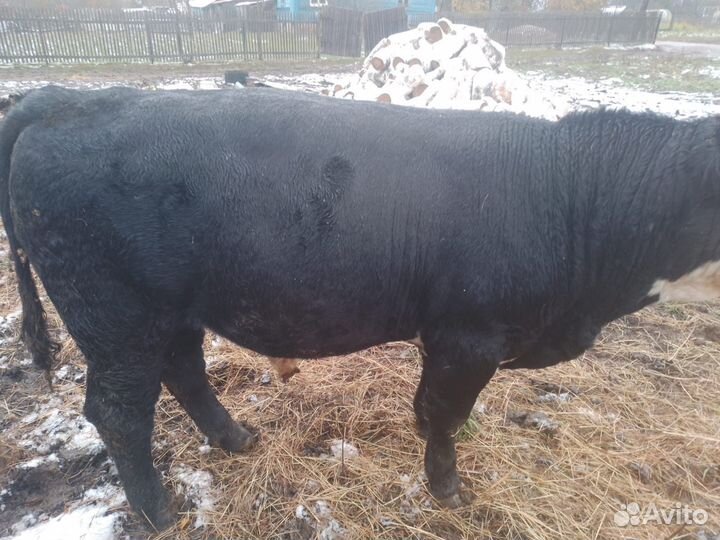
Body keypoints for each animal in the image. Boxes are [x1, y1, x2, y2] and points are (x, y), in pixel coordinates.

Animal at [1, 85, 718, 529]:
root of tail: (62, 98)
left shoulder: (447, 337)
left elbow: (428, 411)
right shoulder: (470, 336)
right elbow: (445, 416)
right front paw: (447, 491)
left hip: (168, 313)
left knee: (183, 372)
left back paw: (236, 438)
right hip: (118, 317)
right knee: (119, 414)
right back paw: (158, 514)